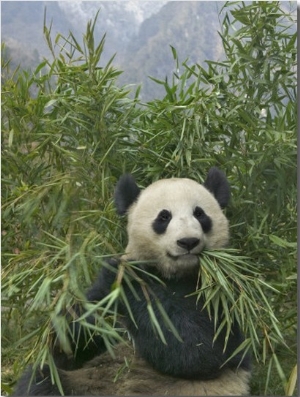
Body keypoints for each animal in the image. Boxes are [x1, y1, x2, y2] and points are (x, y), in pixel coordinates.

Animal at [12, 166, 251, 392]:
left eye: (200, 214)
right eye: (164, 217)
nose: (188, 242)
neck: (172, 274)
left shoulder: (221, 291)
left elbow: (199, 346)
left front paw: (127, 278)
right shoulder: (100, 296)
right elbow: (68, 342)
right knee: (43, 380)